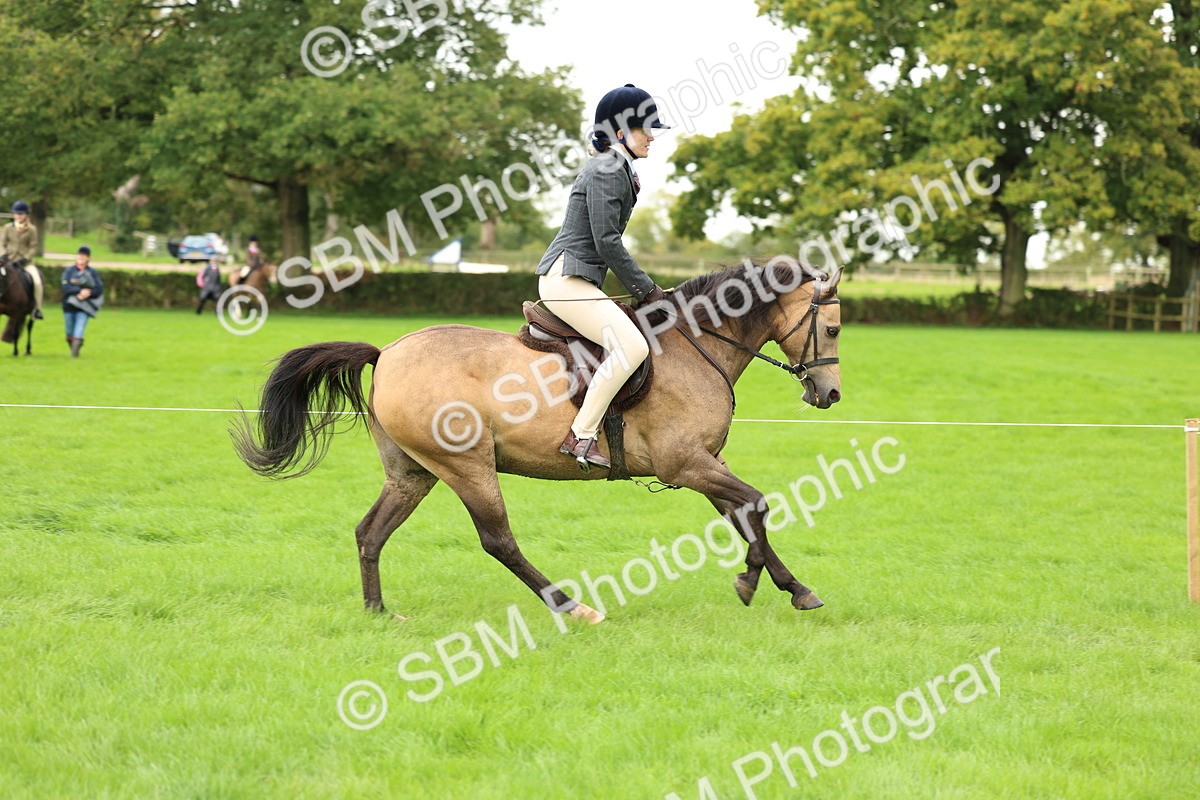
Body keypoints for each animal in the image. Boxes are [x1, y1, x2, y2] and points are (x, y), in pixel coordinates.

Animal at [232, 260, 842, 623]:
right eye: (833, 329)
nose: (830, 393)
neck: (697, 345)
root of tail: (386, 354)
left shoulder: (706, 463)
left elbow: (745, 513)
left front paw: (791, 587)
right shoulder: (686, 465)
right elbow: (756, 504)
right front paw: (752, 580)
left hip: (413, 472)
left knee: (370, 532)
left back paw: (379, 613)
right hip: (467, 467)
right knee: (498, 541)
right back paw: (573, 607)